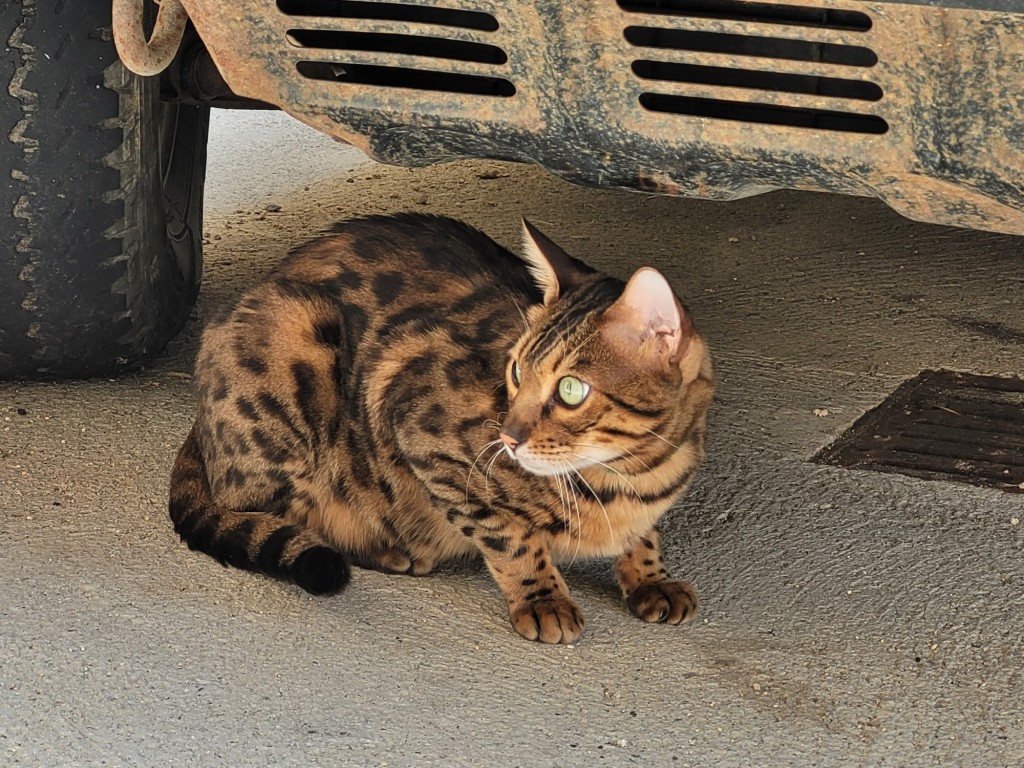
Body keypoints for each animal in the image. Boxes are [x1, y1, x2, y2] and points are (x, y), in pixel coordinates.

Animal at [167, 214, 712, 647]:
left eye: (571, 390)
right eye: (516, 370)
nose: (507, 437)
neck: (629, 477)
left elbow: (643, 536)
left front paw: (650, 575)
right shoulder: (418, 426)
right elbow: (511, 538)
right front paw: (542, 598)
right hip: (295, 337)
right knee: (263, 503)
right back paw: (387, 548)